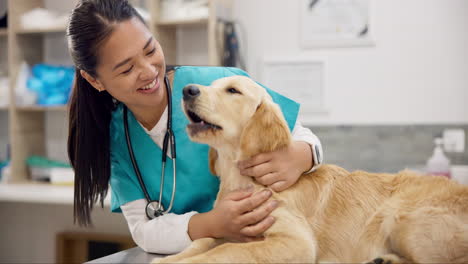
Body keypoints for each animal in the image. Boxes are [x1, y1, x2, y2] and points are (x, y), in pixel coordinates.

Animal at [155, 75, 468, 262]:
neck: (243, 178)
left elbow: (225, 251)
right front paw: (171, 258)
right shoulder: (227, 224)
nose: (187, 89)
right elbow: (201, 241)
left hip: (401, 219)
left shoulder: (296, 242)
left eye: (233, 90)